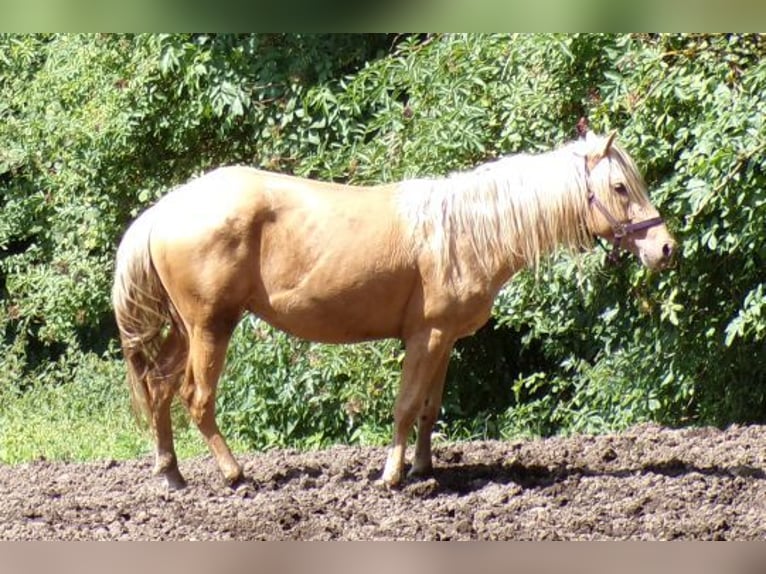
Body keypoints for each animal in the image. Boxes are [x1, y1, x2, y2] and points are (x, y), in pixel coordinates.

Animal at [111, 129, 676, 490]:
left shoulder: (445, 339)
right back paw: (233, 474)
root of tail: (164, 210)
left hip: (184, 330)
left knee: (159, 391)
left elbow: (429, 409)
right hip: (211, 327)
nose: (666, 248)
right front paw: (391, 475)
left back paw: (171, 475)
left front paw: (424, 469)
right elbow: (405, 406)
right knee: (197, 398)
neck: (467, 232)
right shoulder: (427, 336)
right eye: (620, 187)